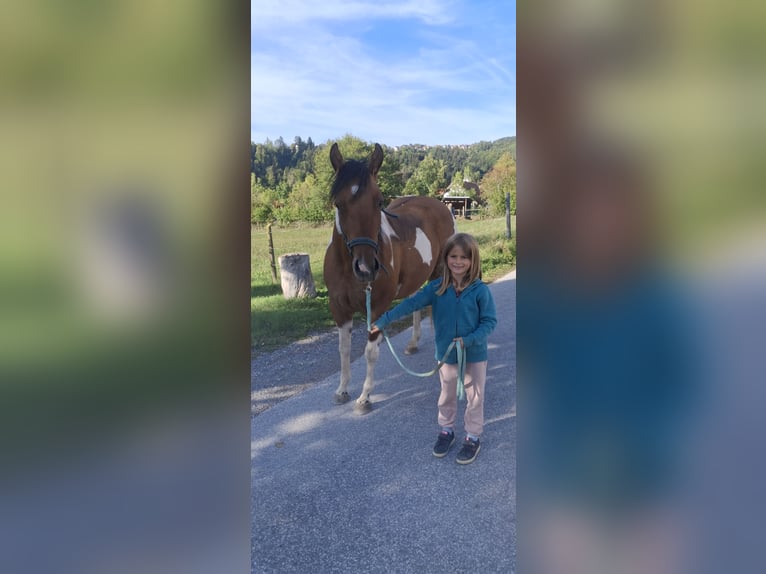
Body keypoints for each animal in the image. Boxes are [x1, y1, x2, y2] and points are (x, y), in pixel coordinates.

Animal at [323, 142, 456, 413]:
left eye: (379, 201)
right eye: (339, 204)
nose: (365, 268)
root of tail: (439, 205)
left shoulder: (377, 308)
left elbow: (370, 352)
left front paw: (365, 397)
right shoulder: (338, 308)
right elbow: (344, 350)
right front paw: (342, 390)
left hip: (439, 273)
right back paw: (413, 343)